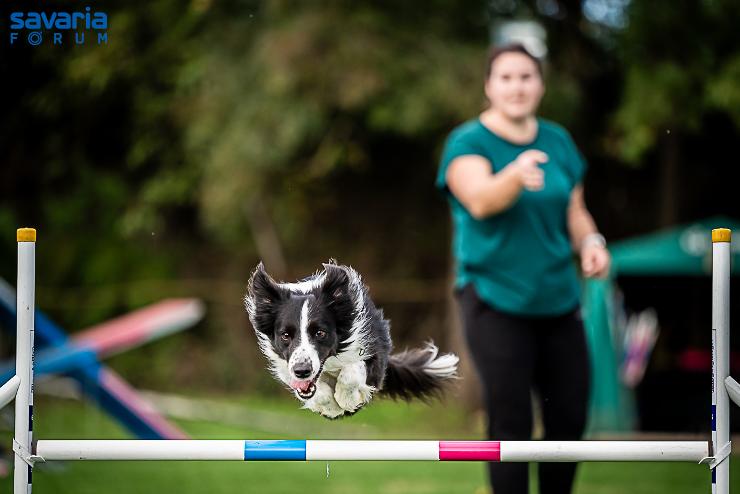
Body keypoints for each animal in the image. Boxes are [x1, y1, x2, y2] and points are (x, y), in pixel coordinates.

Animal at [246, 260, 460, 418]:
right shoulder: (287, 368)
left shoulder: (373, 352)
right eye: (285, 335)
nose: (302, 371)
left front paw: (346, 399)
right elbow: (316, 391)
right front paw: (331, 406)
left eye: (320, 333)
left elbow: (351, 371)